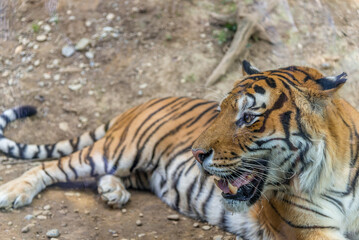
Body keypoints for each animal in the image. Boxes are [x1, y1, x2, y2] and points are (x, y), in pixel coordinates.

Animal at [0, 61, 358, 239]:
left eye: (248, 117)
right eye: (220, 110)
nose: (196, 153)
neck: (334, 173)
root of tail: (143, 102)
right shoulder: (309, 232)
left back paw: (113, 192)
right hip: (118, 150)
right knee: (51, 166)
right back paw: (12, 193)